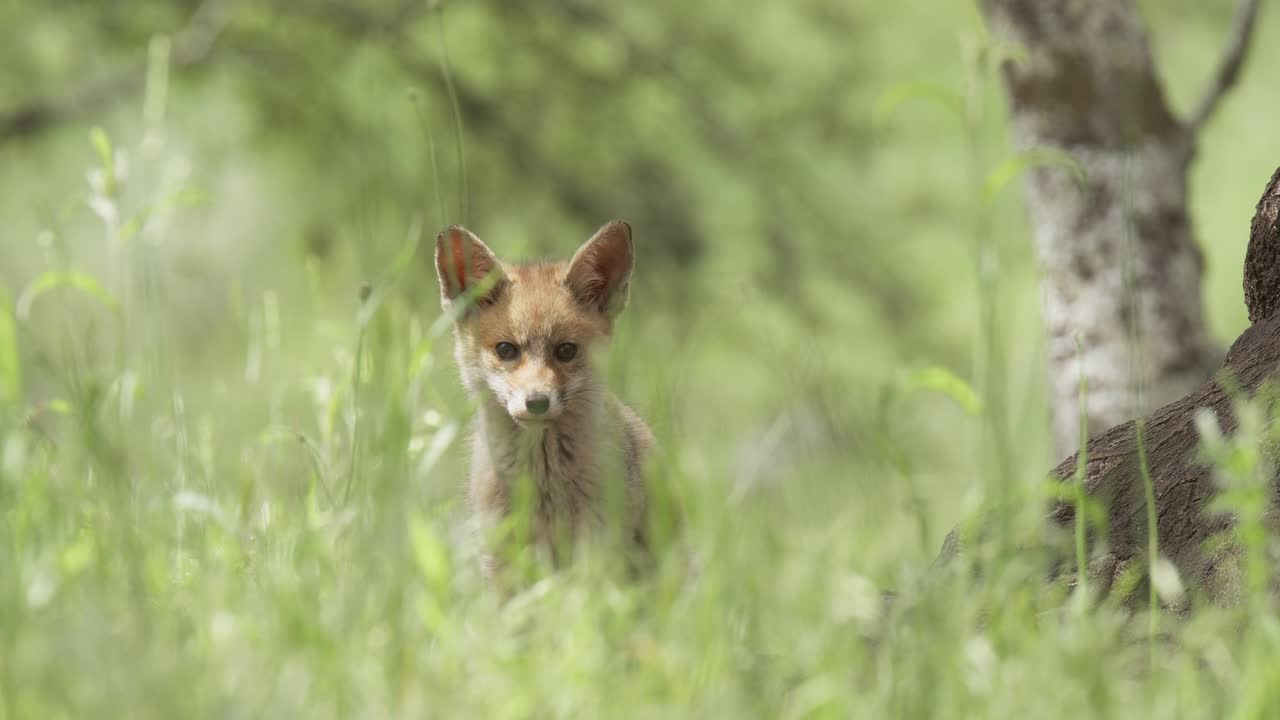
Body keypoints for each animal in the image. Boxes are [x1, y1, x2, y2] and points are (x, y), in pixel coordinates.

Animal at [434, 220, 655, 579]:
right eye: (506, 349)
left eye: (565, 350)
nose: (537, 401)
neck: (543, 484)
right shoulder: (502, 553)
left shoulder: (595, 546)